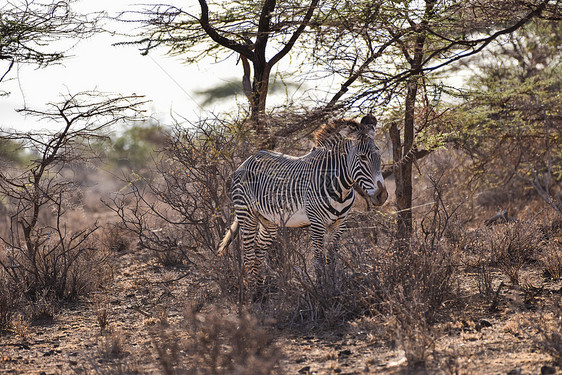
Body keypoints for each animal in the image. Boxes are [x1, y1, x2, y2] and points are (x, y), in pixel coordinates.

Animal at [218, 116, 384, 290]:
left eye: (379, 155)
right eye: (363, 157)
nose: (382, 195)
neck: (341, 189)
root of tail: (246, 160)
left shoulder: (340, 224)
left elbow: (331, 258)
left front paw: (333, 286)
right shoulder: (317, 223)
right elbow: (318, 260)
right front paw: (322, 290)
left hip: (268, 220)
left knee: (258, 250)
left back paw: (260, 290)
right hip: (247, 214)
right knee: (248, 253)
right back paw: (252, 292)